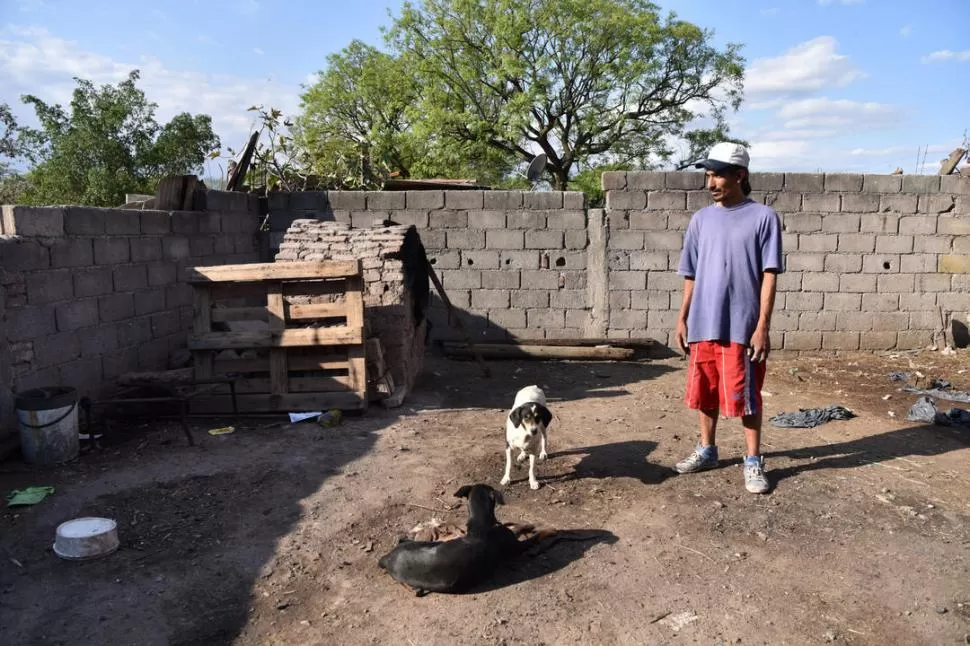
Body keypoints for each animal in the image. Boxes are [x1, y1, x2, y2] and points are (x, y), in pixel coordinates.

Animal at [376, 486, 548, 596]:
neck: (480, 525)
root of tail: (387, 559)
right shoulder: (515, 546)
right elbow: (533, 535)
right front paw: (538, 529)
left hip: (424, 544)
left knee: (402, 539)